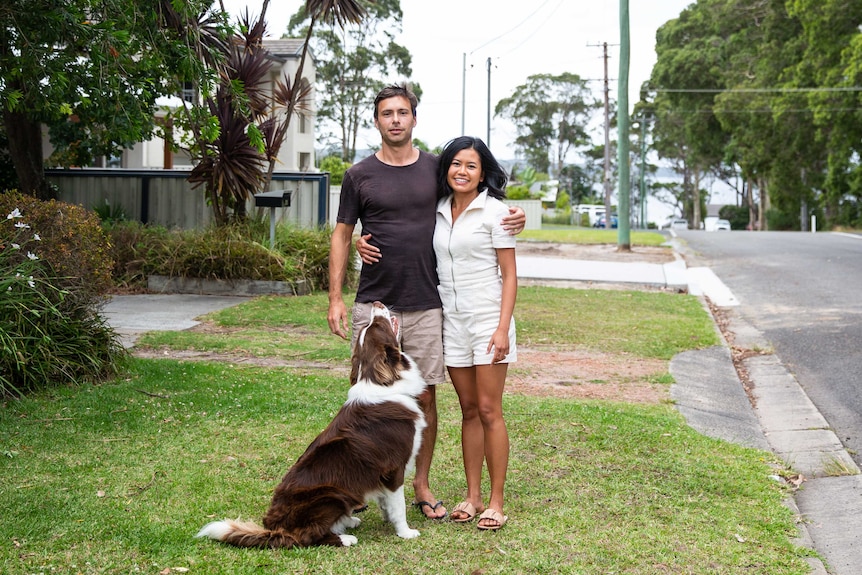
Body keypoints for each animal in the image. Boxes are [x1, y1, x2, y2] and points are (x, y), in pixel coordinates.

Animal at [195, 302, 426, 548]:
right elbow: (399, 506)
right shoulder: (394, 468)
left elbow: (386, 503)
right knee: (307, 536)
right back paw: (345, 537)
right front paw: (405, 532)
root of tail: (277, 528)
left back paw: (347, 521)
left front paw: (387, 519)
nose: (377, 304)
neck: (378, 381)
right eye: (377, 325)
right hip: (331, 495)